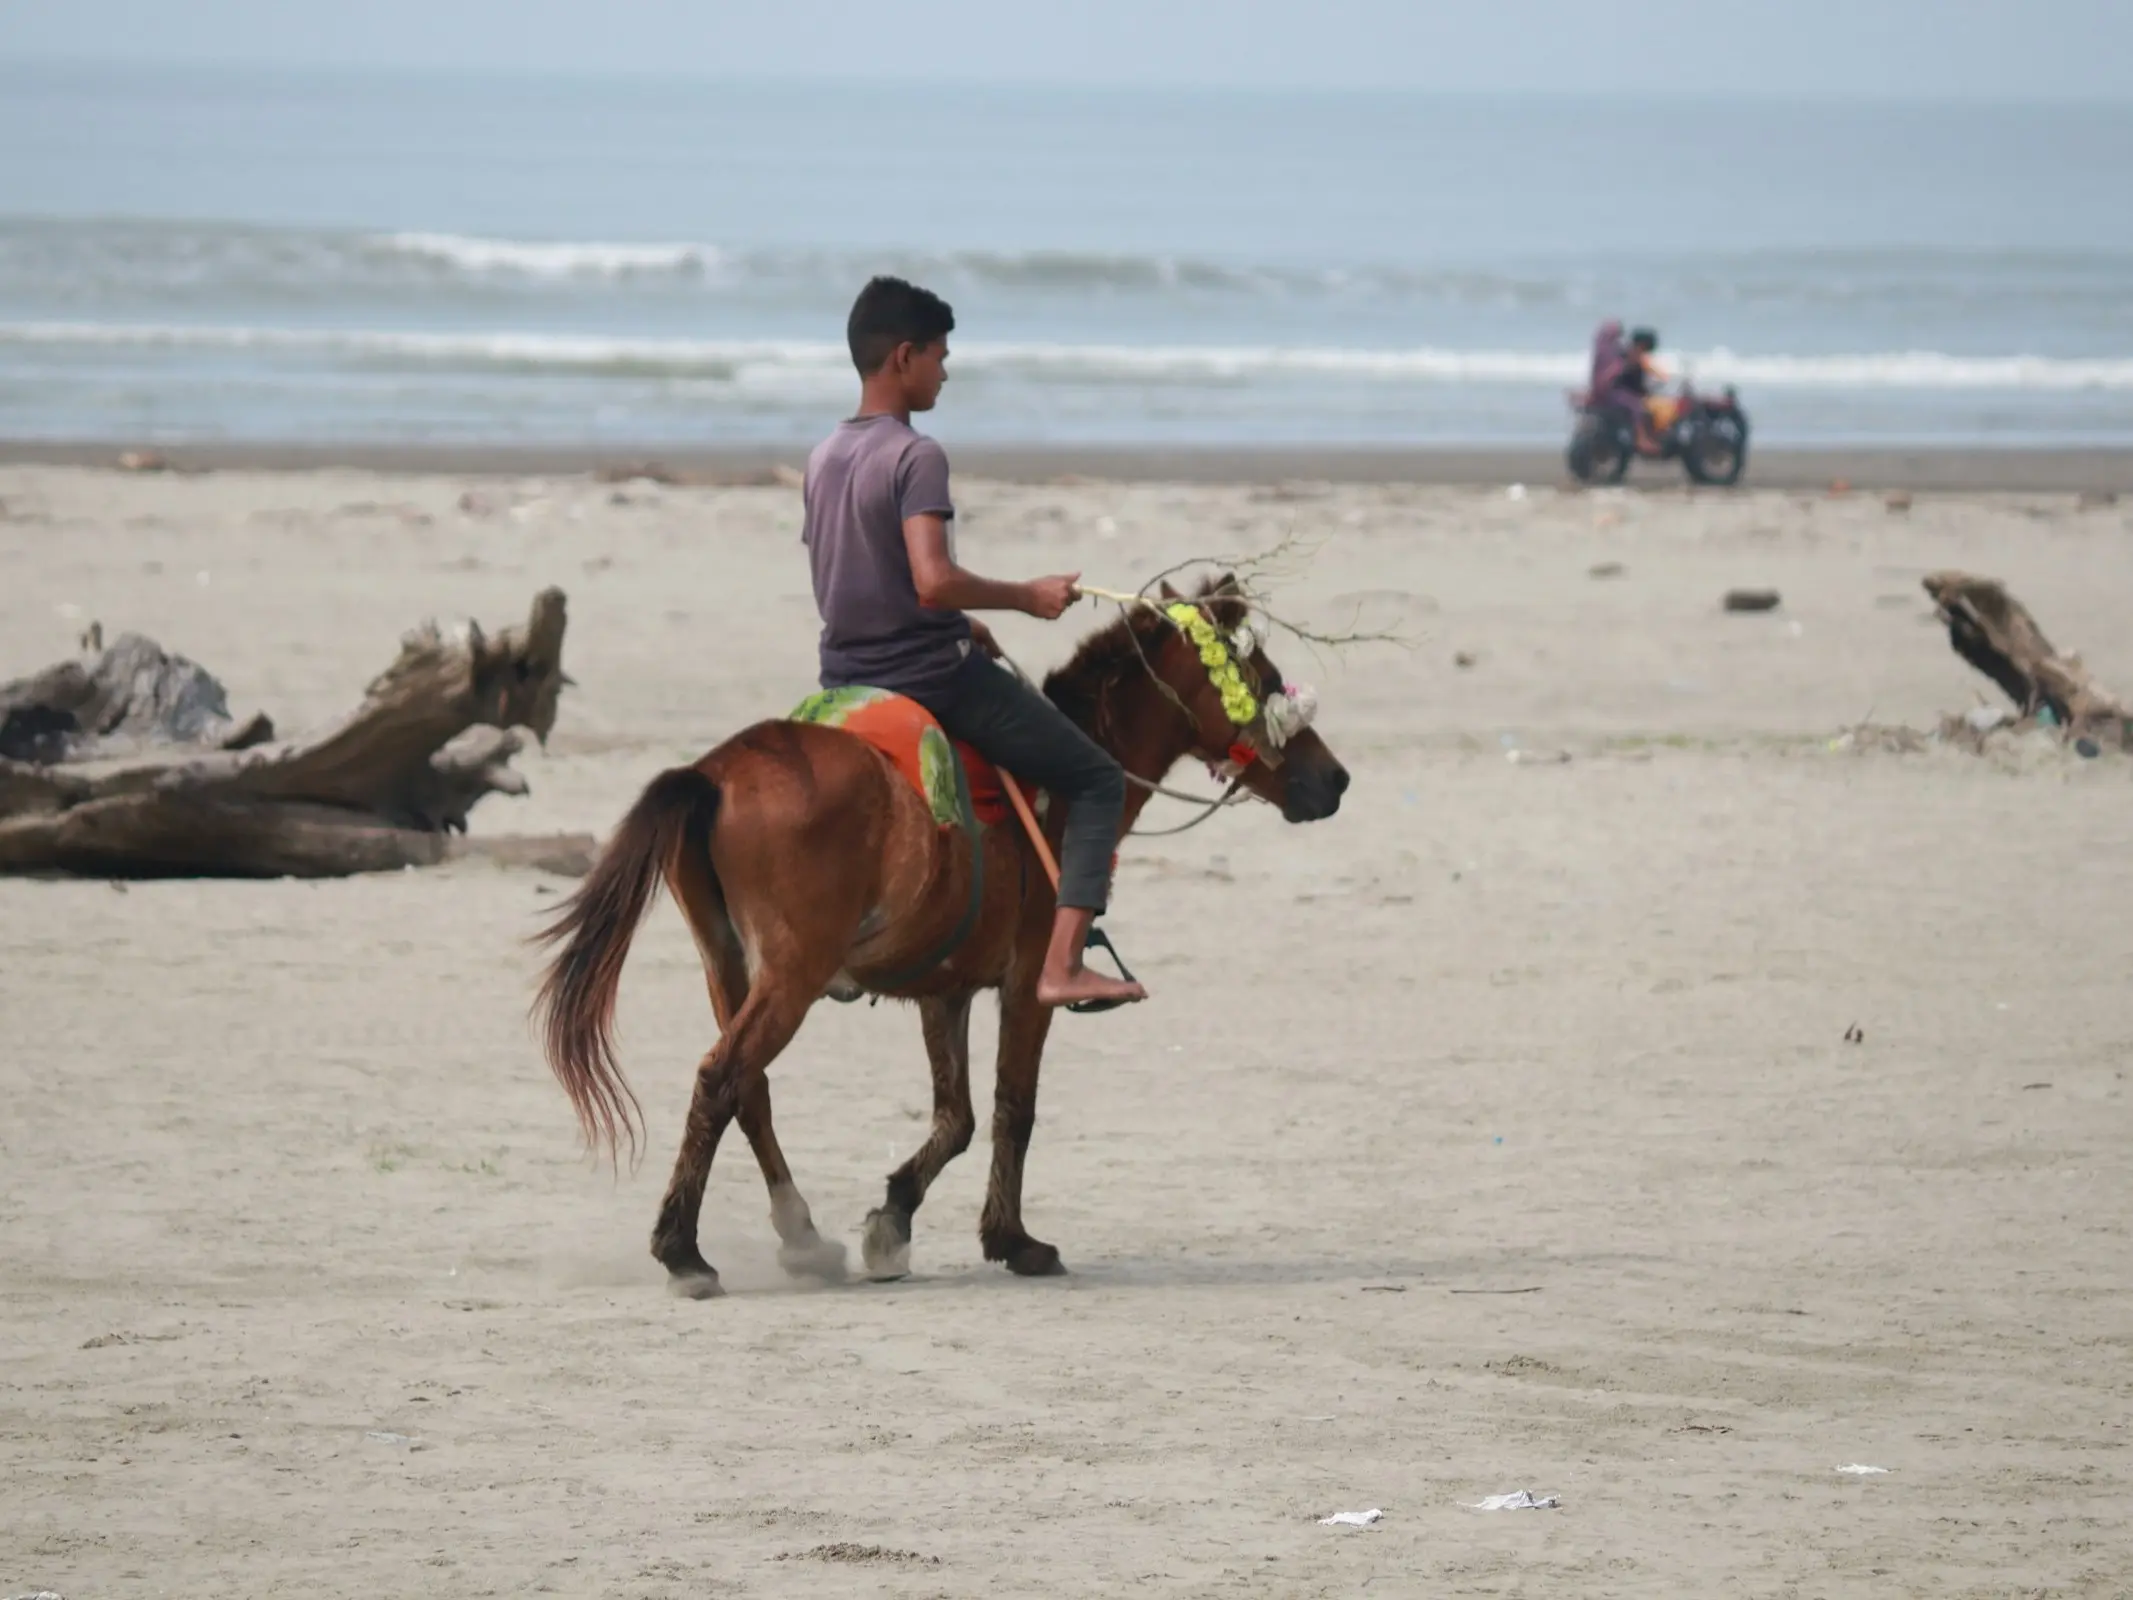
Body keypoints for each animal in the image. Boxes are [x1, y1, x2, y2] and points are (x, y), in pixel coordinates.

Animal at [541, 576, 1356, 1305]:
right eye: (1264, 676)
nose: (1335, 780)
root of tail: (712, 773)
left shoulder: (947, 987)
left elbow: (955, 1117)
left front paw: (893, 1219)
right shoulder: (1029, 985)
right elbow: (1012, 1108)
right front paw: (1013, 1241)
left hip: (729, 966)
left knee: (749, 1088)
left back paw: (803, 1238)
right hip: (790, 976)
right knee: (721, 1077)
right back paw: (683, 1251)